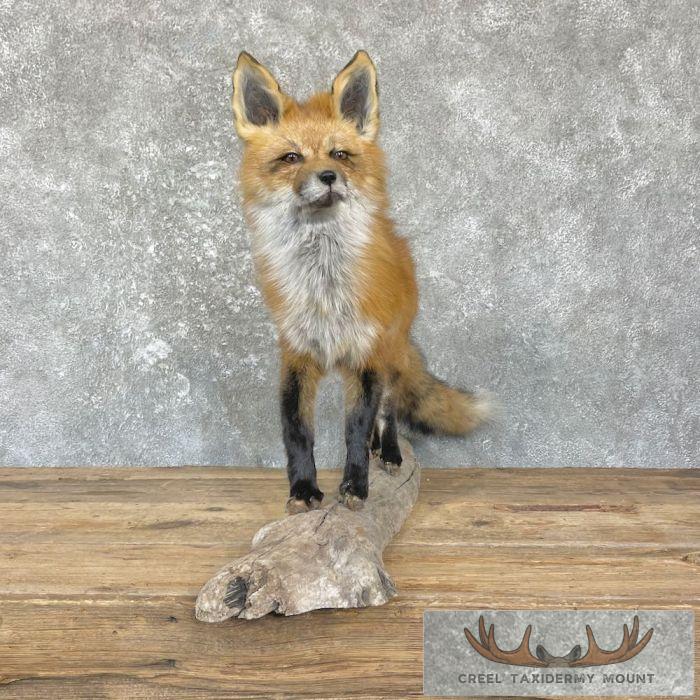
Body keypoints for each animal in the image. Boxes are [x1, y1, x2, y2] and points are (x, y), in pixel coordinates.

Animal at [231, 50, 491, 514]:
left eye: (340, 154)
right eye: (292, 158)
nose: (328, 177)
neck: (325, 288)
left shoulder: (368, 354)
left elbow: (356, 426)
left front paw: (355, 486)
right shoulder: (296, 354)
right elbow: (297, 430)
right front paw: (303, 489)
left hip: (390, 353)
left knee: (388, 412)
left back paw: (387, 452)